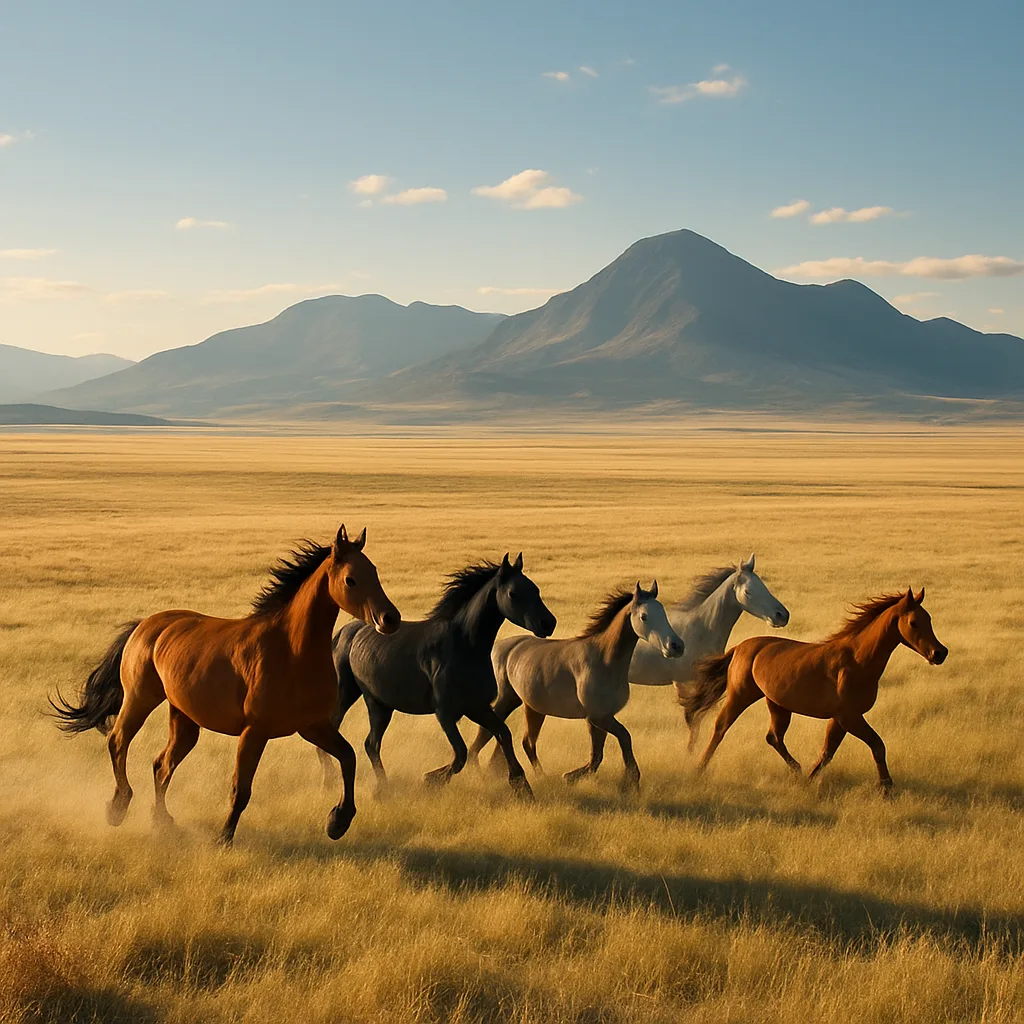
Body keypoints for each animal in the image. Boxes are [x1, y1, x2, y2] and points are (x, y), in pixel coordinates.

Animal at [51, 525, 400, 844]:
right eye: (351, 579)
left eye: (374, 572)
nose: (390, 619)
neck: (291, 649)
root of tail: (145, 625)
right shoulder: (255, 731)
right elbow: (241, 788)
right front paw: (224, 838)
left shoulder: (312, 725)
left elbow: (348, 756)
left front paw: (338, 821)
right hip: (139, 699)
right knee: (118, 742)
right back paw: (118, 808)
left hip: (184, 718)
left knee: (162, 764)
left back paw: (163, 821)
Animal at [320, 553, 557, 798]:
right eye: (513, 593)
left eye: (536, 589)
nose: (548, 623)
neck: (465, 646)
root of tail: (342, 633)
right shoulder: (445, 712)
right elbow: (461, 753)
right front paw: (431, 780)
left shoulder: (477, 706)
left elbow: (503, 733)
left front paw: (522, 786)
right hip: (347, 693)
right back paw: (331, 780)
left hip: (379, 704)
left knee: (371, 744)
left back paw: (383, 787)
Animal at [468, 582, 684, 792]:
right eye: (644, 616)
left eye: (664, 613)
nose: (676, 646)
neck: (604, 660)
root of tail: (497, 648)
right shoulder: (597, 717)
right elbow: (622, 738)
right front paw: (630, 782)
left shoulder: (602, 717)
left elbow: (597, 755)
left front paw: (571, 777)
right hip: (504, 701)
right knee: (486, 736)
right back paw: (479, 774)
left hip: (531, 707)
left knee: (526, 742)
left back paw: (536, 776)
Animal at [627, 554, 790, 749]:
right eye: (748, 591)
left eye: (764, 586)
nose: (782, 615)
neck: (701, 628)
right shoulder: (683, 683)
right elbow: (691, 719)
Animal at [682, 587, 947, 795]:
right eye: (914, 623)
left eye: (929, 619)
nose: (940, 653)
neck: (858, 660)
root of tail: (740, 647)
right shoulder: (850, 717)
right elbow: (877, 745)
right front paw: (887, 788)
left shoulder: (841, 719)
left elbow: (827, 752)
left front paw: (809, 780)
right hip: (741, 696)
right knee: (721, 727)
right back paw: (699, 768)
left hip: (777, 704)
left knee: (774, 737)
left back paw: (797, 771)